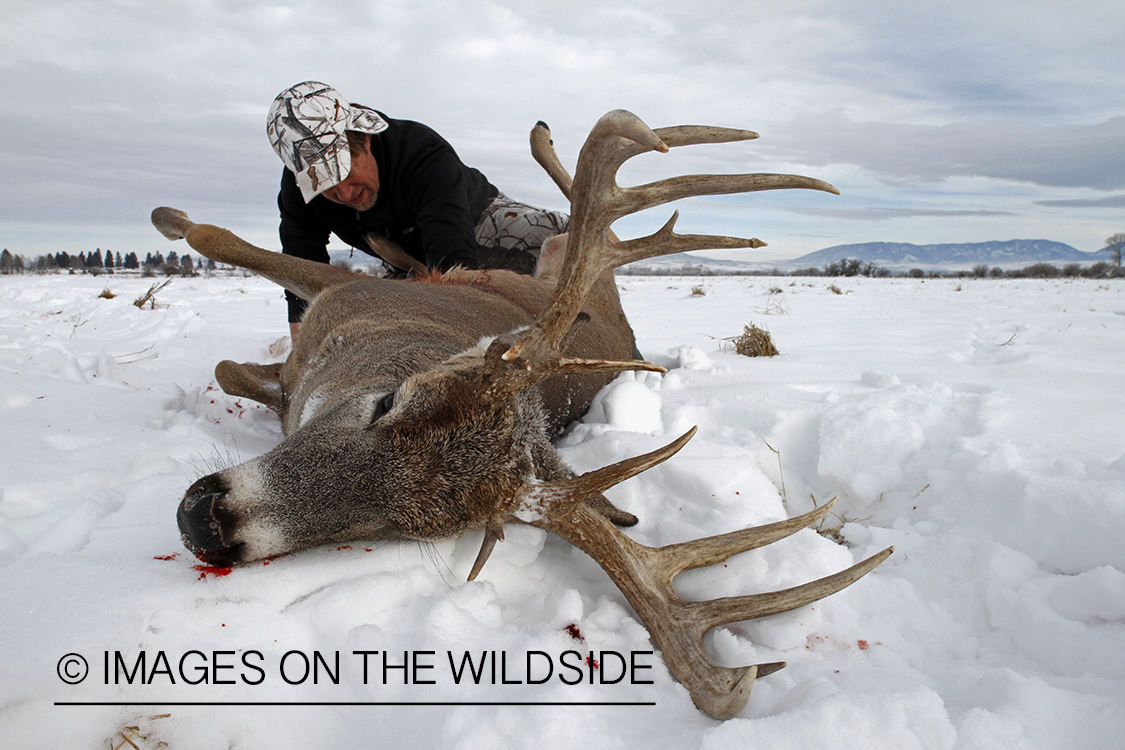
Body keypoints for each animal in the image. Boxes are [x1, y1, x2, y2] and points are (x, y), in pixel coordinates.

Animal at [150, 109, 893, 720]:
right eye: (387, 401)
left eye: (403, 526)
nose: (204, 521)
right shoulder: (340, 294)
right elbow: (219, 255)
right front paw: (168, 216)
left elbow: (227, 317)